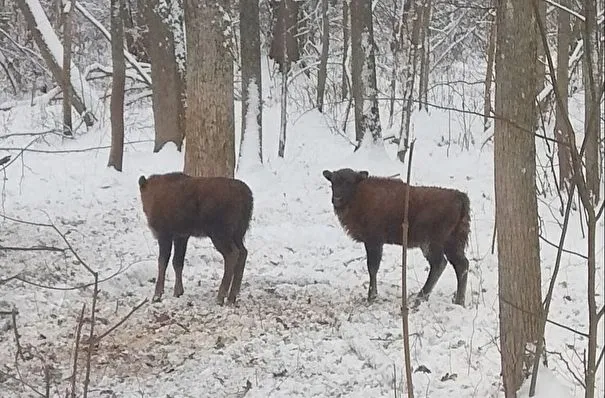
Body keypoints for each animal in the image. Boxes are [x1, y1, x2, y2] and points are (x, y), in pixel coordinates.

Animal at [139, 171, 252, 304]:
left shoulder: (165, 235)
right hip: (238, 234)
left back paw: (220, 297)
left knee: (232, 254)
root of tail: (246, 195)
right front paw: (178, 292)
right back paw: (231, 297)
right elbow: (177, 262)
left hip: (220, 235)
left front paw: (157, 295)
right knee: (243, 252)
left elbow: (163, 262)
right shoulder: (181, 236)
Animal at [324, 167, 470, 304]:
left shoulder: (373, 241)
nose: (337, 199)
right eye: (333, 182)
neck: (359, 193)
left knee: (440, 264)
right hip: (452, 243)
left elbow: (372, 267)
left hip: (432, 243)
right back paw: (459, 301)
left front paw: (371, 296)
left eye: (350, 182)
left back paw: (420, 299)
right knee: (461, 265)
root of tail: (459, 197)